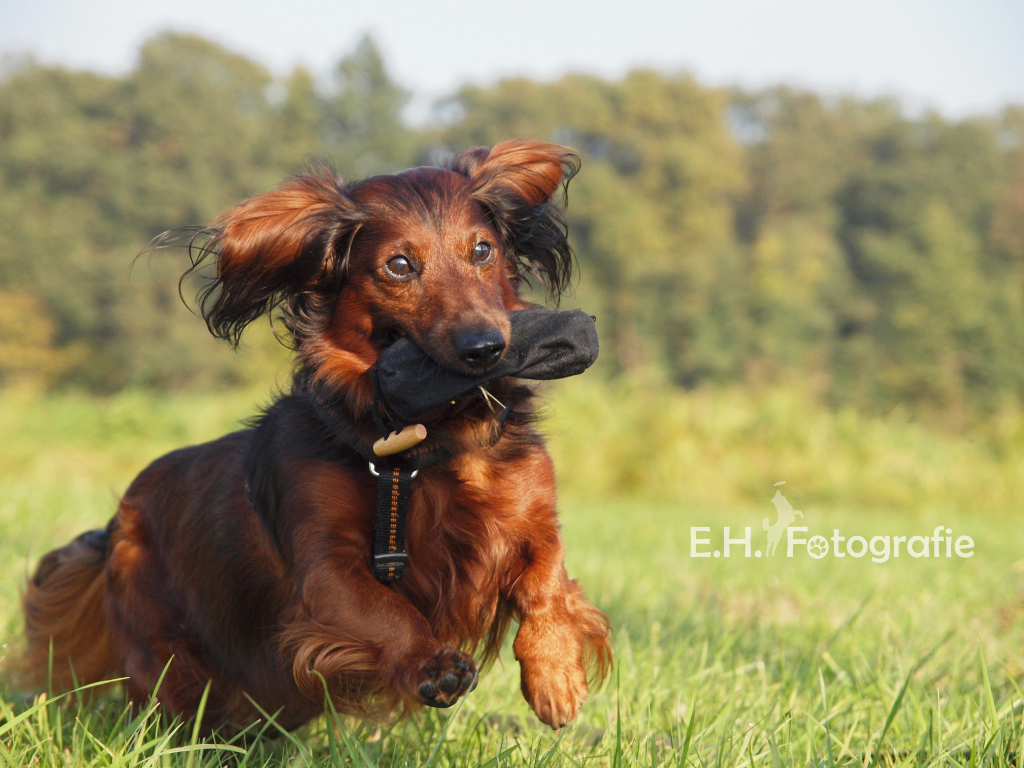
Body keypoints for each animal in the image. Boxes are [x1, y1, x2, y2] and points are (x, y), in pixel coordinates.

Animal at [19, 141, 610, 737]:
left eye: (483, 250)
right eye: (399, 265)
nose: (485, 348)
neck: (413, 448)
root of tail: (116, 519)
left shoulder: (531, 515)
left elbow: (546, 578)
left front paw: (556, 674)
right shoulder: (325, 571)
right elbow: (392, 615)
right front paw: (434, 664)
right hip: (167, 654)